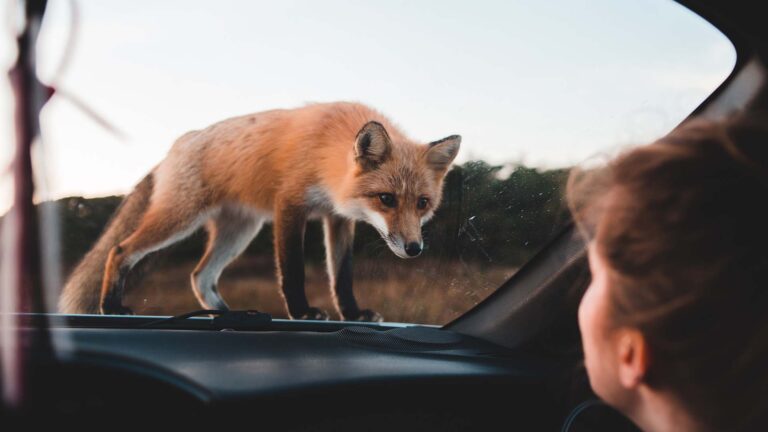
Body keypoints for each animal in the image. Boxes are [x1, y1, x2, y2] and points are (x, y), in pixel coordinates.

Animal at [60, 102, 460, 320]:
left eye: (422, 203)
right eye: (387, 199)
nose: (414, 249)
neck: (327, 152)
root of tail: (179, 144)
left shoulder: (337, 217)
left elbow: (341, 277)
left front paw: (352, 314)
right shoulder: (290, 205)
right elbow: (293, 271)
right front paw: (302, 311)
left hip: (240, 232)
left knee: (200, 276)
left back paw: (222, 315)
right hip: (181, 219)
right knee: (119, 250)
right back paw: (111, 306)